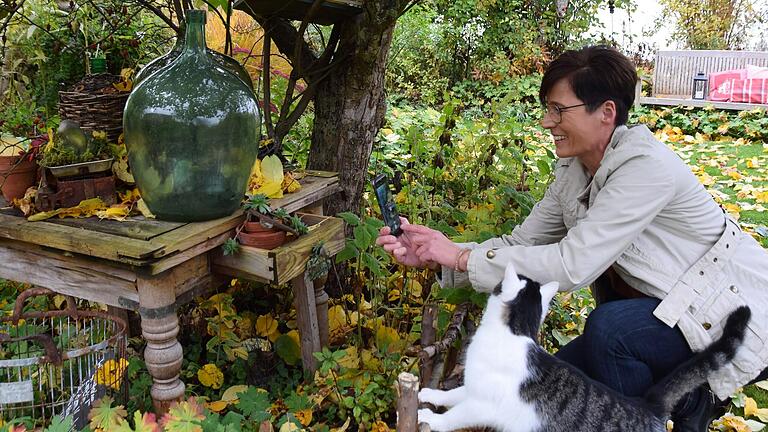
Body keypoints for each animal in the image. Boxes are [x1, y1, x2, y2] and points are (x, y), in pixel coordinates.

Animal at [416, 262, 748, 432]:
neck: (513, 334)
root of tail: (647, 406)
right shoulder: (475, 387)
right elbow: (454, 394)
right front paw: (430, 394)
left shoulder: (485, 405)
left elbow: (456, 416)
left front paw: (431, 419)